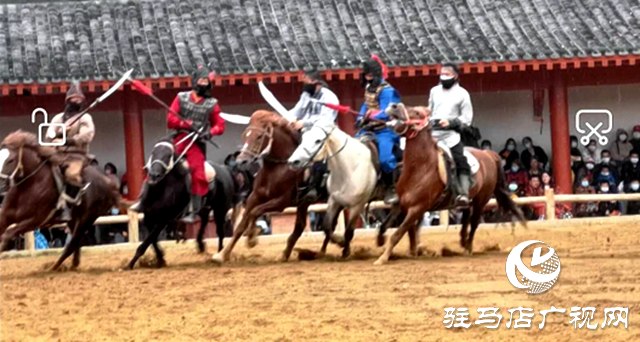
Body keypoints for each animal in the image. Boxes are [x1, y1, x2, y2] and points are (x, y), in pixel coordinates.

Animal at [0, 131, 119, 270]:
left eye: (10, 160)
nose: (0, 184)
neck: (29, 185)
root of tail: (108, 183)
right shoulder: (5, 216)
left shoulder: (34, 221)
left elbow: (7, 234)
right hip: (74, 221)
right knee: (76, 244)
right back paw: (73, 264)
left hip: (85, 221)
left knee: (71, 246)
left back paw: (53, 268)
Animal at [212, 111, 318, 264]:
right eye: (245, 135)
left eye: (259, 136)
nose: (241, 161)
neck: (278, 168)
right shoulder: (254, 196)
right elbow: (242, 224)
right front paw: (222, 254)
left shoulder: (281, 202)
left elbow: (255, 212)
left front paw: (252, 237)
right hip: (303, 204)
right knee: (299, 226)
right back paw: (284, 255)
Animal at [288, 123, 378, 256]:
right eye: (303, 138)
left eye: (318, 140)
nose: (293, 161)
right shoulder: (333, 200)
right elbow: (326, 226)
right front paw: (340, 243)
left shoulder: (358, 205)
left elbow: (348, 231)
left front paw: (345, 249)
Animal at [372, 103, 528, 264]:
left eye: (417, 112)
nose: (394, 106)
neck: (420, 168)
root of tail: (487, 154)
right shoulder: (401, 204)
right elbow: (391, 227)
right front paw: (389, 244)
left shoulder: (417, 208)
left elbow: (398, 233)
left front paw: (383, 258)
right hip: (469, 200)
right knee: (466, 218)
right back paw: (462, 241)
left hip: (481, 200)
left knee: (474, 223)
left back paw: (468, 248)